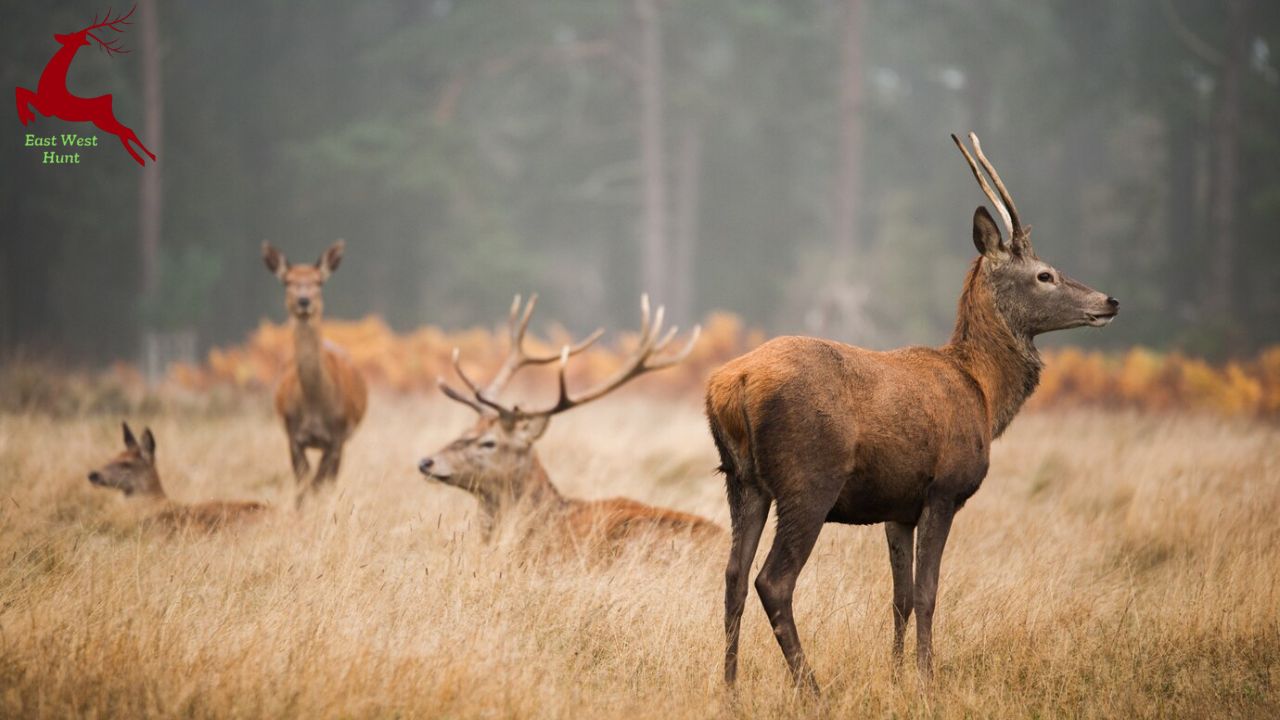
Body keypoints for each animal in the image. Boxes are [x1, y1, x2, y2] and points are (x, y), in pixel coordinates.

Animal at [15, 5, 156, 165]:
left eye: (72, 34)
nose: (57, 35)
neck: (53, 84)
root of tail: (108, 100)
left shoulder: (47, 108)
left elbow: (22, 92)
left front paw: (27, 117)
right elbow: (21, 91)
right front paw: (28, 116)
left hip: (102, 121)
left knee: (125, 131)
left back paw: (145, 158)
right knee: (125, 131)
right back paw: (144, 158)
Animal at [262, 238, 368, 502]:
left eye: (319, 281)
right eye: (287, 281)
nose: (304, 301)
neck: (314, 409)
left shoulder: (337, 436)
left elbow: (319, 483)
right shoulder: (292, 434)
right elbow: (303, 485)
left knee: (330, 480)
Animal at [711, 131, 1121, 686]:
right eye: (1045, 274)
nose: (1109, 301)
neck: (984, 392)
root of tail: (732, 384)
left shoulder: (897, 508)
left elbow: (899, 599)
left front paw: (897, 675)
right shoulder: (943, 489)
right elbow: (928, 594)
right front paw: (928, 679)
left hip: (742, 480)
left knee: (732, 576)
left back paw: (730, 686)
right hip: (808, 478)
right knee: (772, 580)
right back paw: (811, 687)